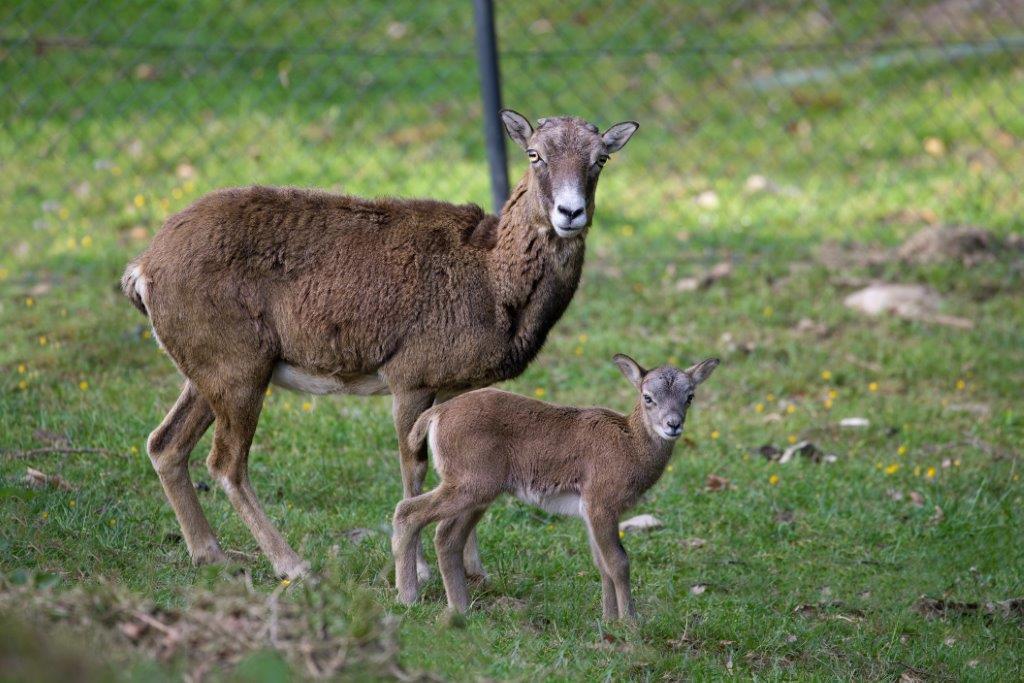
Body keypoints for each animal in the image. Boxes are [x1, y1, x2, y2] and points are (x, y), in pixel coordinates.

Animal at [121, 111, 639, 580]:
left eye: (601, 159)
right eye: (534, 154)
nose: (570, 213)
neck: (492, 280)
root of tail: (142, 269)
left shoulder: (459, 388)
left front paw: (475, 571)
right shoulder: (410, 379)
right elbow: (414, 469)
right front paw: (423, 573)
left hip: (209, 374)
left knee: (165, 444)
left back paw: (214, 556)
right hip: (238, 373)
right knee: (226, 463)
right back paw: (294, 565)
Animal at [392, 354, 719, 620]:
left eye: (689, 396)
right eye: (648, 396)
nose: (673, 424)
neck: (630, 446)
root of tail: (435, 416)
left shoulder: (589, 512)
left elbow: (601, 563)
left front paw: (609, 620)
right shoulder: (601, 504)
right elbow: (618, 562)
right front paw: (630, 623)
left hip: (478, 492)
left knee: (447, 537)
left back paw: (460, 608)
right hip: (469, 484)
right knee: (408, 512)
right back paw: (409, 598)